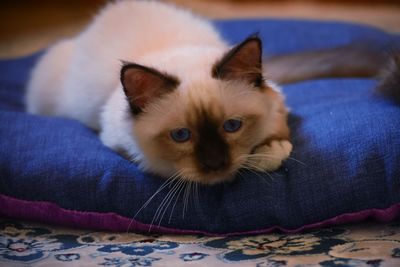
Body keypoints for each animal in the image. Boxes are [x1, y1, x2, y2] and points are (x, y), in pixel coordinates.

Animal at [26, 0, 292, 185]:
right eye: (181, 135)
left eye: (232, 126)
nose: (215, 163)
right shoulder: (122, 144)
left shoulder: (277, 99)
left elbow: (279, 124)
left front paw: (269, 150)